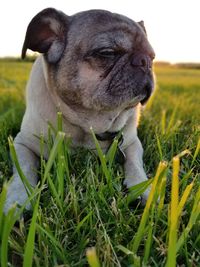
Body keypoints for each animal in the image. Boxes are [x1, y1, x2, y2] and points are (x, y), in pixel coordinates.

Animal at [3, 7, 155, 214]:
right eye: (107, 52)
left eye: (153, 57)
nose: (145, 61)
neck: (88, 124)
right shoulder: (22, 144)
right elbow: (23, 171)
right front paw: (16, 202)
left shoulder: (132, 143)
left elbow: (135, 164)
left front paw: (143, 189)